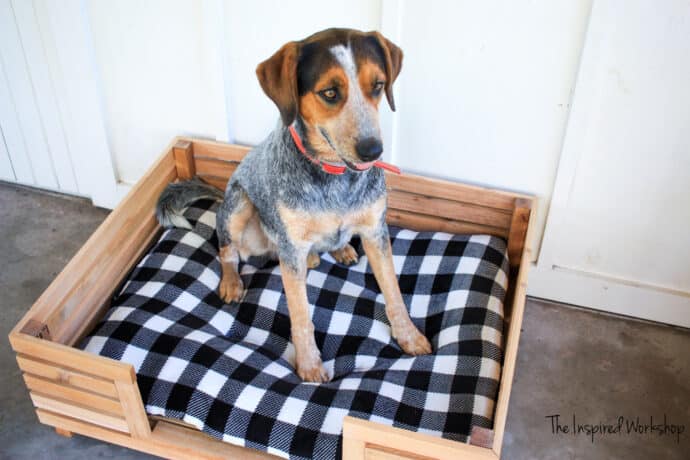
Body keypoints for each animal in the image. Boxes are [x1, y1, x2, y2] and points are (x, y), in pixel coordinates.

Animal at [157, 27, 430, 382]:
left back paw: (338, 249)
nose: (373, 151)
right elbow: (301, 317)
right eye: (330, 92)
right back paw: (232, 281)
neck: (335, 178)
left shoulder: (375, 232)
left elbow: (394, 293)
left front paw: (409, 336)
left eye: (378, 85)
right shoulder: (291, 249)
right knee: (227, 251)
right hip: (239, 206)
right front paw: (310, 365)